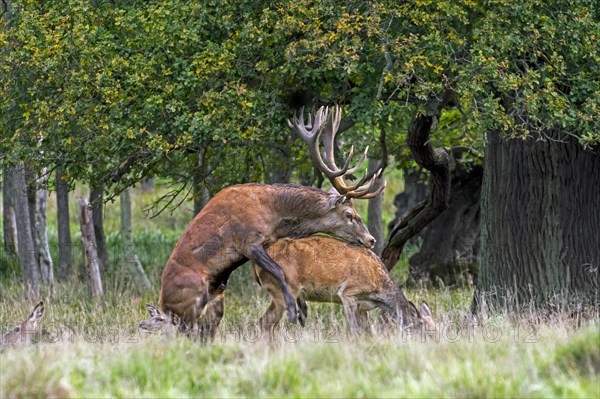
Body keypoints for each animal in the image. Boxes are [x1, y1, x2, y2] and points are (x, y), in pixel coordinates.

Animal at [159, 106, 384, 340]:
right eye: (349, 214)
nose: (371, 239)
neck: (275, 215)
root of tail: (163, 304)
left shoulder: (267, 241)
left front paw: (301, 306)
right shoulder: (248, 241)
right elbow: (279, 270)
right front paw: (296, 311)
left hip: (216, 301)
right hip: (191, 300)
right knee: (183, 330)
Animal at [251, 238, 438, 340]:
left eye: (437, 330)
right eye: (427, 333)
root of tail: (254, 266)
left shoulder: (363, 306)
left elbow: (368, 331)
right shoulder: (348, 292)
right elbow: (355, 330)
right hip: (280, 291)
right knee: (264, 322)